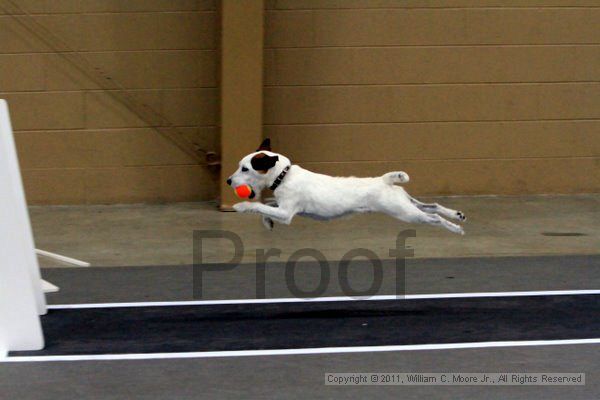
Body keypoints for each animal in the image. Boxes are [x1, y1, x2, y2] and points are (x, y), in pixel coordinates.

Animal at [227, 139, 466, 234]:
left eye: (245, 169)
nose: (229, 181)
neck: (284, 176)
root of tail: (384, 180)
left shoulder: (286, 213)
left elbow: (259, 205)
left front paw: (241, 207)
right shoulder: (282, 207)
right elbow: (267, 205)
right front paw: (267, 222)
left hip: (405, 213)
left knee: (433, 217)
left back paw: (455, 228)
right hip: (406, 203)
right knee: (432, 206)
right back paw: (457, 214)